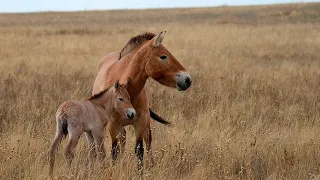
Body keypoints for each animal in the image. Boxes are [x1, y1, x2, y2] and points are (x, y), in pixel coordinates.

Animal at [92, 31, 192, 170]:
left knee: (148, 140)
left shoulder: (140, 122)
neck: (126, 89)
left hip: (146, 123)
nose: (187, 79)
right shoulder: (113, 124)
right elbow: (114, 151)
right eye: (163, 56)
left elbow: (139, 150)